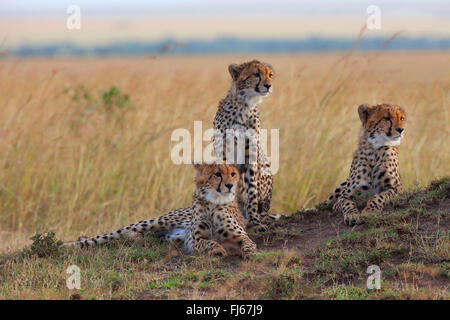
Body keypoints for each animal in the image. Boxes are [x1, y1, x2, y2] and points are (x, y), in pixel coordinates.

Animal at [65, 164, 258, 258]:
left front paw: (250, 253)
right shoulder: (196, 239)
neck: (213, 201)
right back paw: (65, 245)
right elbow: (208, 242)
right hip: (151, 224)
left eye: (233, 174)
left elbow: (248, 243)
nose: (230, 185)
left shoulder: (239, 235)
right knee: (107, 236)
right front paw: (218, 249)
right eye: (217, 174)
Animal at [213, 59, 280, 232]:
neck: (244, 105)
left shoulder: (252, 153)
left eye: (270, 75)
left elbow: (252, 190)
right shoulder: (223, 152)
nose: (268, 85)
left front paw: (255, 221)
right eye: (256, 74)